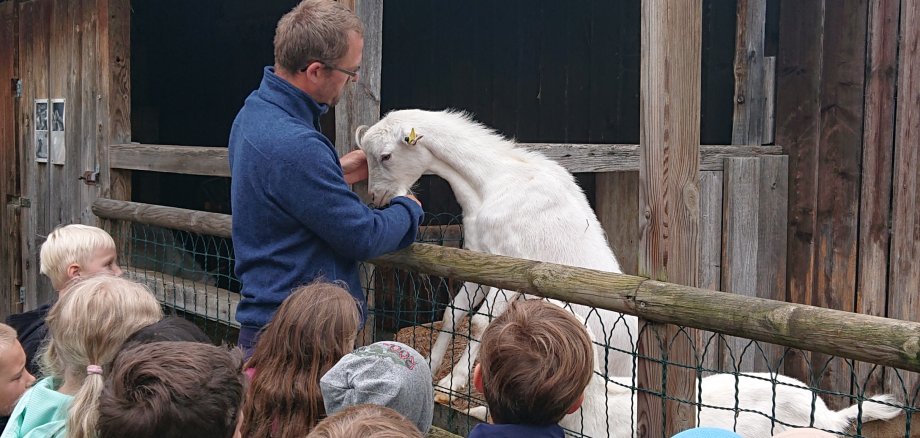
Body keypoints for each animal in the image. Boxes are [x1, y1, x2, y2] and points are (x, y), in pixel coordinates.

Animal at [356, 109, 636, 400]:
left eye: (386, 156)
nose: (378, 197)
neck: (493, 184)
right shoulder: (480, 263)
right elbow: (453, 313)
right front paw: (430, 366)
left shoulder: (512, 273)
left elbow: (481, 323)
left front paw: (451, 383)